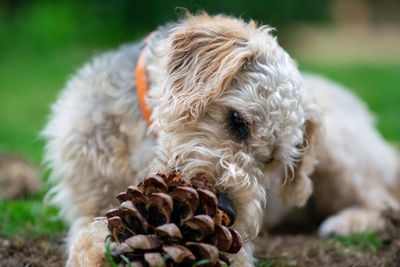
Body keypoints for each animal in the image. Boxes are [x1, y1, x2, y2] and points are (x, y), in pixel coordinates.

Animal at [42, 13, 398, 267]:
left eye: (273, 160)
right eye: (237, 120)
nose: (226, 209)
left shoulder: (238, 247)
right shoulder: (86, 197)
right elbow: (85, 234)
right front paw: (103, 250)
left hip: (341, 156)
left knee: (384, 202)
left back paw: (344, 223)